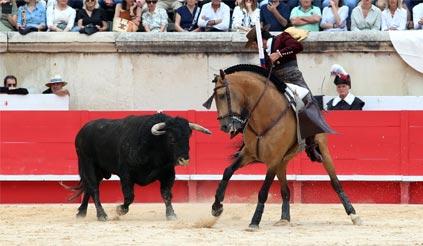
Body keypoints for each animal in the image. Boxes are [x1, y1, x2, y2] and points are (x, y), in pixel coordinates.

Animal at [65, 112, 211, 220]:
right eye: (171, 138)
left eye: (188, 137)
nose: (184, 159)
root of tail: (82, 131)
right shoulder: (126, 174)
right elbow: (130, 196)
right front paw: (120, 210)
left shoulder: (168, 174)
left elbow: (166, 194)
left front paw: (171, 214)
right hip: (87, 163)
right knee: (94, 187)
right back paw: (101, 215)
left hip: (100, 170)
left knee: (88, 187)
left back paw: (81, 213)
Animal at [204, 64, 362, 230]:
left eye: (222, 95)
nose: (225, 126)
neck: (263, 117)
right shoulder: (249, 154)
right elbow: (227, 171)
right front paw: (216, 207)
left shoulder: (273, 160)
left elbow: (263, 191)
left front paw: (254, 221)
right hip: (283, 162)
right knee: (285, 190)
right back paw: (284, 218)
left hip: (322, 151)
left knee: (335, 182)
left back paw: (353, 214)